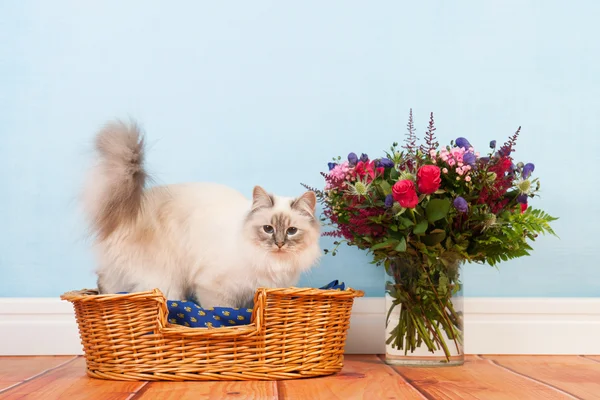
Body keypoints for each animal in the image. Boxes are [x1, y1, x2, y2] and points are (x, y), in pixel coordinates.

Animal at [83, 119, 324, 306]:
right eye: (268, 229)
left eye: (291, 231)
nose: (279, 244)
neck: (272, 263)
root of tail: (130, 207)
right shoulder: (215, 288)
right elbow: (221, 315)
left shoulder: (257, 292)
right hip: (166, 282)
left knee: (107, 283)